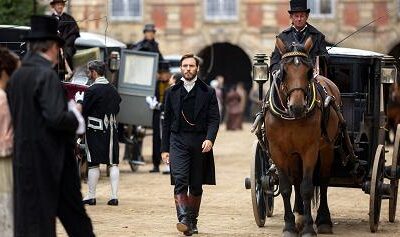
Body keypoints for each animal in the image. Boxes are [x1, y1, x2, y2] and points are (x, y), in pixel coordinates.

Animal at [266, 37, 340, 235]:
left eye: (308, 71)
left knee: (323, 180)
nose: (297, 107)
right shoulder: (278, 150)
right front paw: (290, 226)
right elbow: (286, 187)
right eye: (283, 71)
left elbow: (307, 187)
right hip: (293, 155)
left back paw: (323, 220)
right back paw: (299, 214)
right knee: (296, 179)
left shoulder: (310, 150)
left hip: (327, 148)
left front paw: (308, 228)